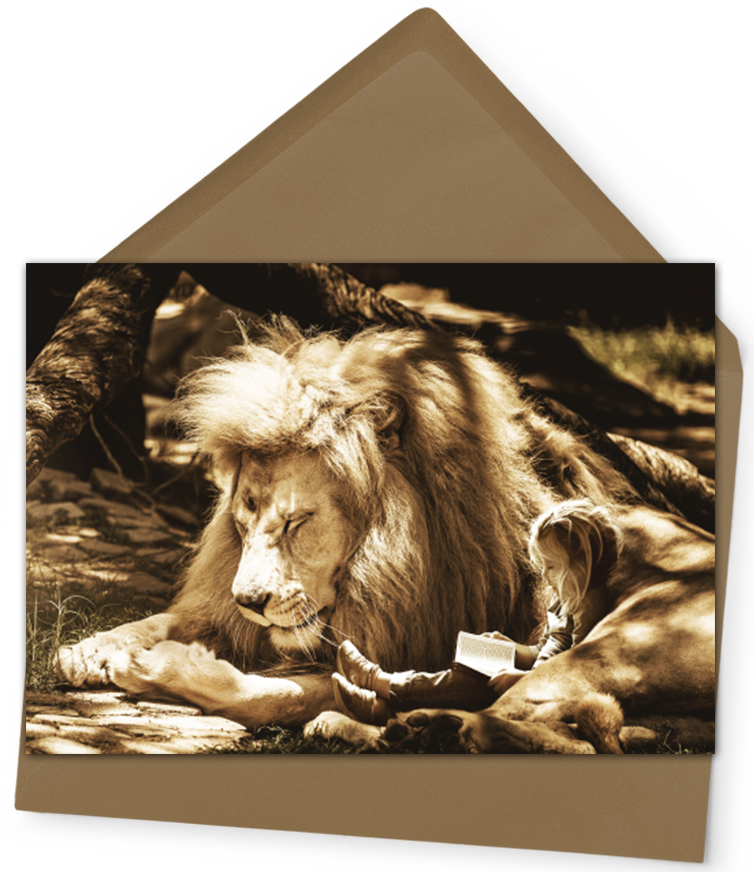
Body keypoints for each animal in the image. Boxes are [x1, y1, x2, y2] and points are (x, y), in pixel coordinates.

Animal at [55, 318, 714, 746]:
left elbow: (272, 693)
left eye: (296, 522)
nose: (249, 601)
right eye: (242, 521)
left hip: (614, 645)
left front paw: (164, 666)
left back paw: (403, 729)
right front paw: (91, 648)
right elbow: (170, 618)